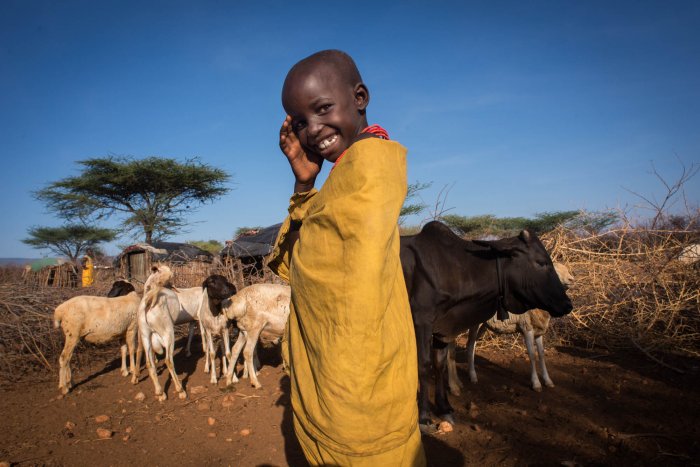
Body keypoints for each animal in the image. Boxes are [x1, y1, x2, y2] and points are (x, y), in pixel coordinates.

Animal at [138, 266, 187, 400]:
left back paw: (160, 393)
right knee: (168, 361)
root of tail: (149, 302)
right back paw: (180, 390)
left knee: (149, 364)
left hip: (146, 335)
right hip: (168, 334)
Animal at [448, 264, 576, 394]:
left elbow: (541, 355)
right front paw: (536, 384)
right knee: (457, 346)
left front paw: (548, 381)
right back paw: (461, 382)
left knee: (469, 345)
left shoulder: (538, 331)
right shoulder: (527, 327)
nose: (571, 279)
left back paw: (465, 379)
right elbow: (532, 355)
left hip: (483, 325)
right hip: (473, 322)